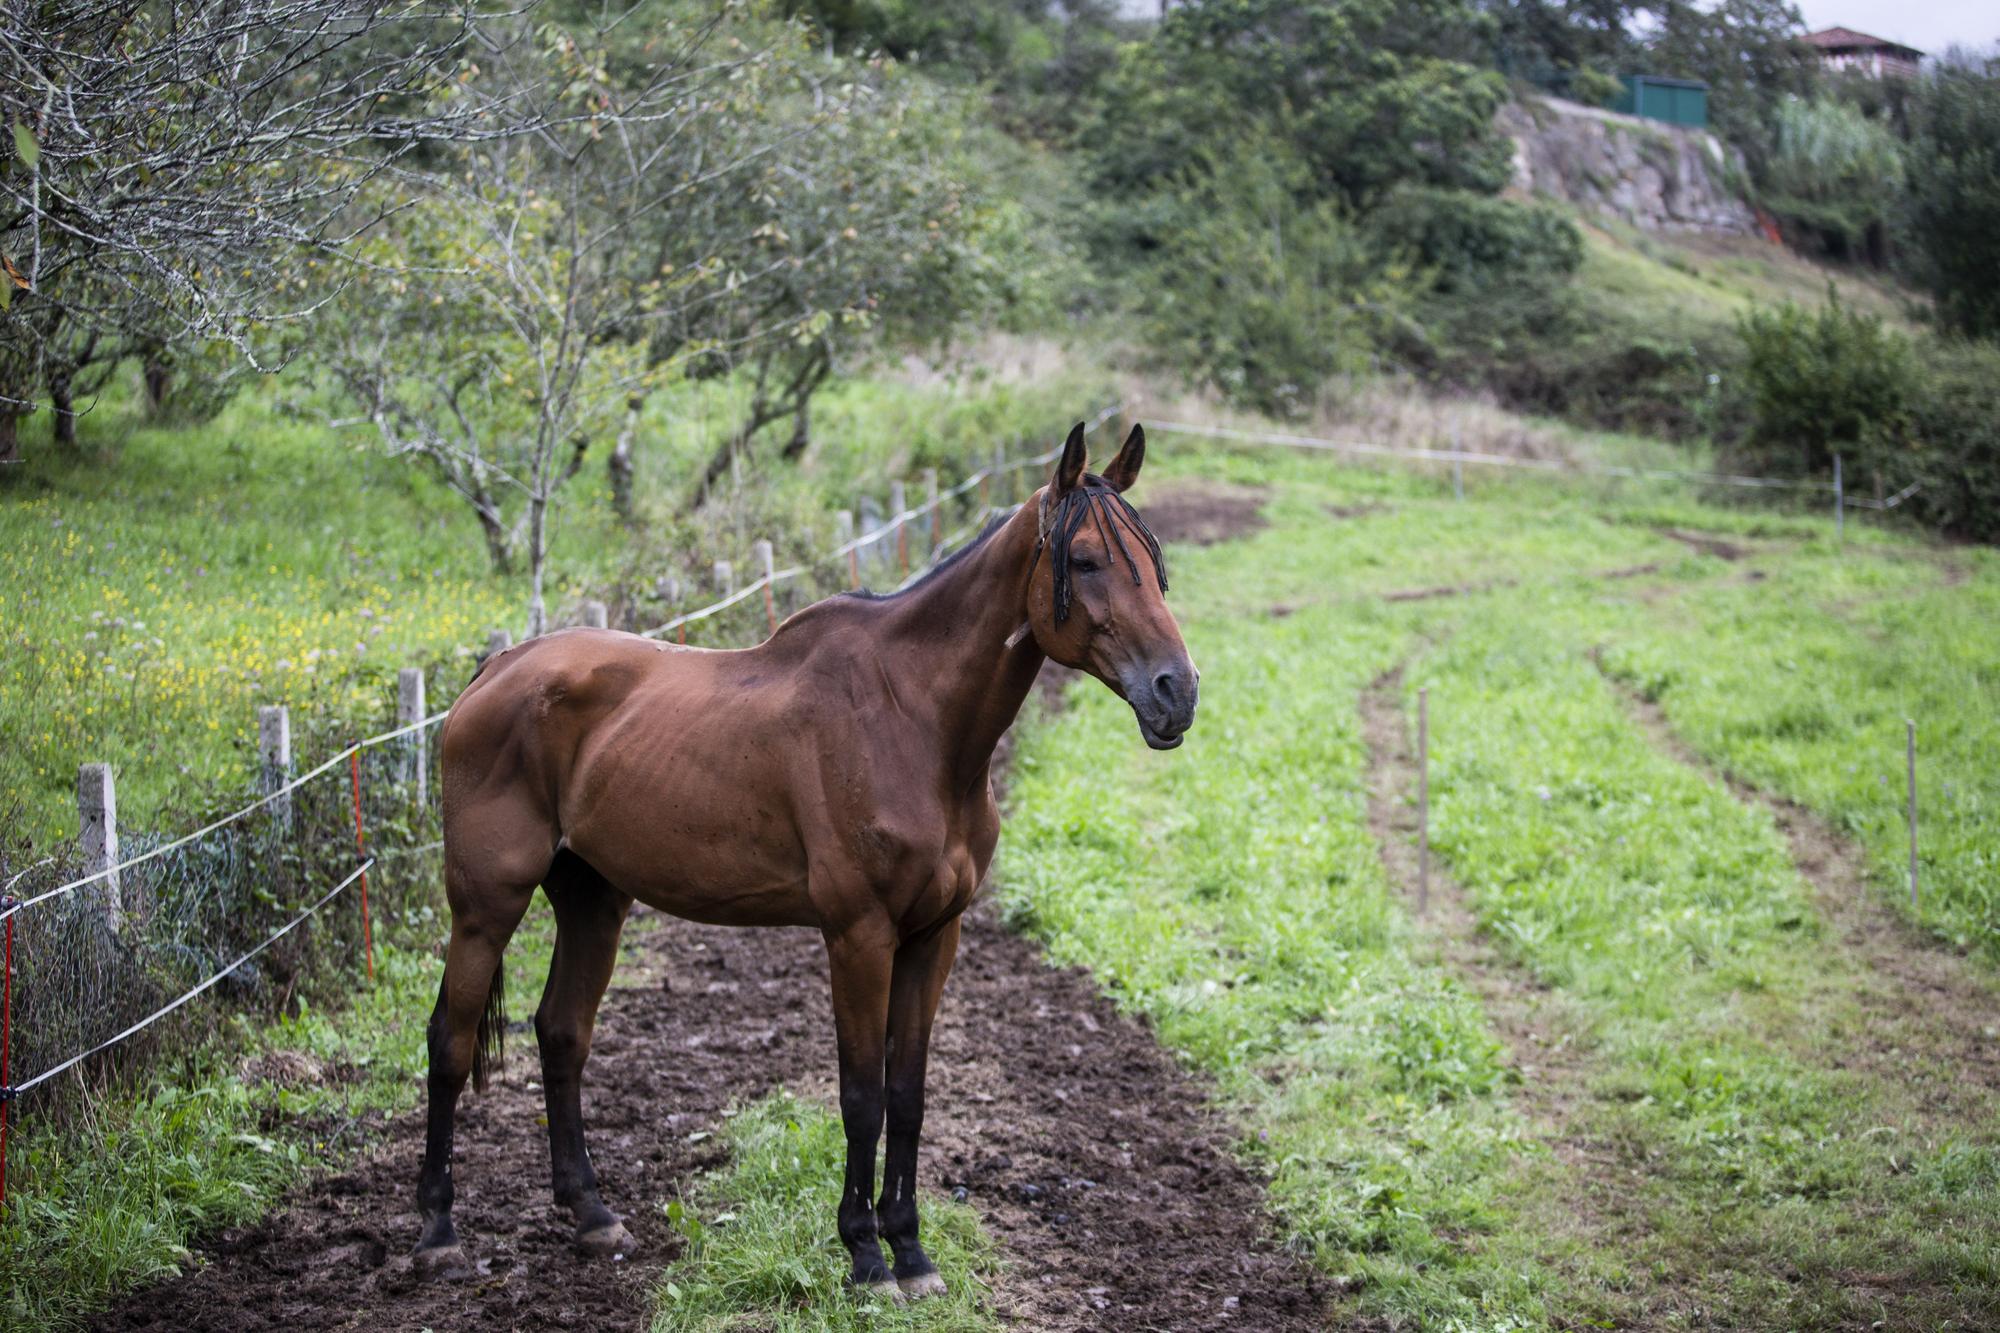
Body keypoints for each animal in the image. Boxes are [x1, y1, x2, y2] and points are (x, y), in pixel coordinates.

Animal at [414, 420, 1192, 1288]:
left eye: (1153, 559)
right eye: (1084, 559)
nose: (1177, 691)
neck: (910, 717)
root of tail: (496, 670)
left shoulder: (934, 936)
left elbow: (907, 1092)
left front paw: (911, 1249)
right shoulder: (858, 935)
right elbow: (860, 1095)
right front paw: (865, 1254)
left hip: (594, 899)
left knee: (561, 1032)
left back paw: (591, 1212)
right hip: (487, 903)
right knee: (449, 1041)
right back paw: (438, 1230)